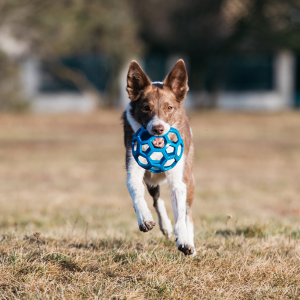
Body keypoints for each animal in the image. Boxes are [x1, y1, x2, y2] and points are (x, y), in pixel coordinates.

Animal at [122, 59, 195, 255]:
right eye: (146, 108)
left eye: (169, 107)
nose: (158, 129)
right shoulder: (134, 167)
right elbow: (136, 192)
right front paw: (145, 219)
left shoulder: (179, 178)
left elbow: (181, 214)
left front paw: (184, 241)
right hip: (151, 180)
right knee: (156, 199)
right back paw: (165, 226)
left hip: (189, 176)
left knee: (188, 213)